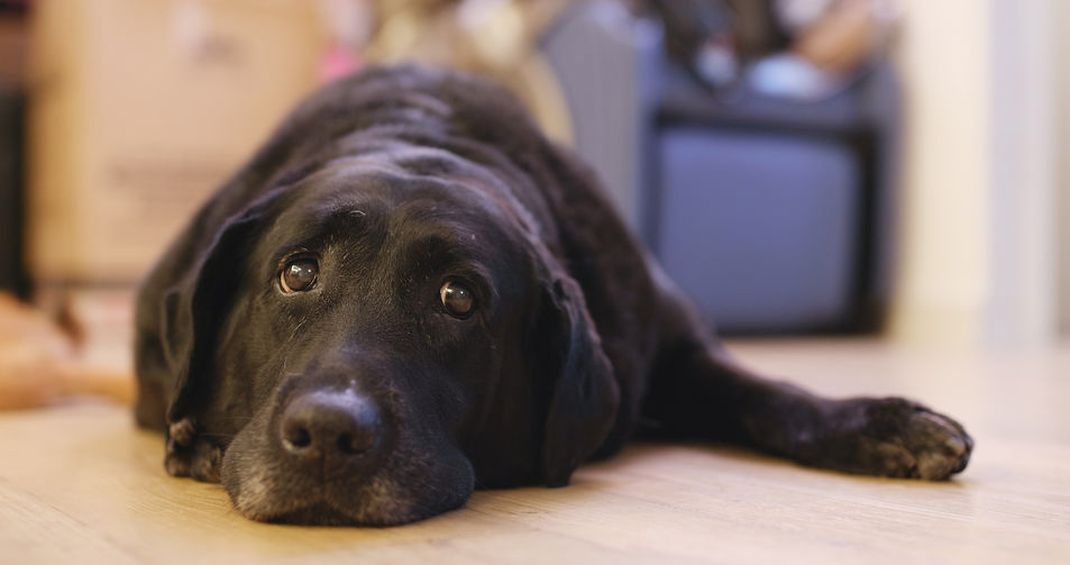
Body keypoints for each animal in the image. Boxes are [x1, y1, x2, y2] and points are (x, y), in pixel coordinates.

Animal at [133, 65, 971, 524]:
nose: (330, 432)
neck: (420, 135)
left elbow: (768, 394)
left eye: (459, 298)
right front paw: (198, 439)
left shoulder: (669, 340)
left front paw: (883, 424)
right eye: (298, 272)